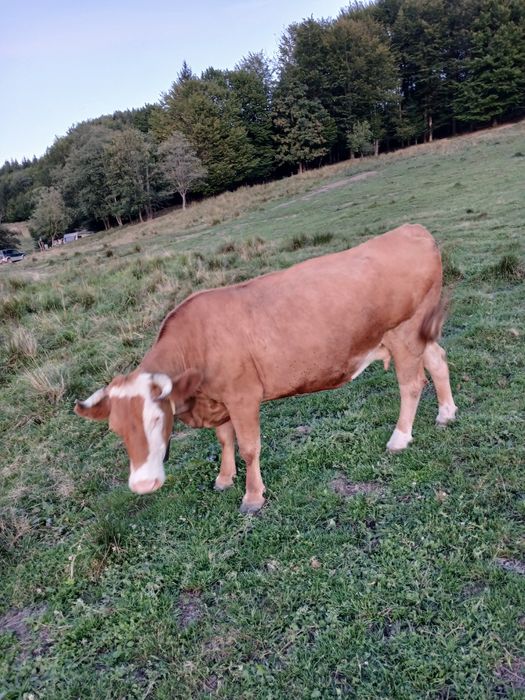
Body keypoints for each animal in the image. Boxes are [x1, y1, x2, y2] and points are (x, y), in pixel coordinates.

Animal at [75, 224, 457, 513]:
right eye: (116, 429)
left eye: (157, 419)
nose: (142, 485)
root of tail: (412, 230)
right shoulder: (219, 399)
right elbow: (225, 439)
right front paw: (224, 478)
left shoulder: (243, 396)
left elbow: (249, 447)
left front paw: (253, 496)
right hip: (420, 333)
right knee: (438, 360)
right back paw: (446, 413)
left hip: (404, 333)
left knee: (411, 383)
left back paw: (400, 438)